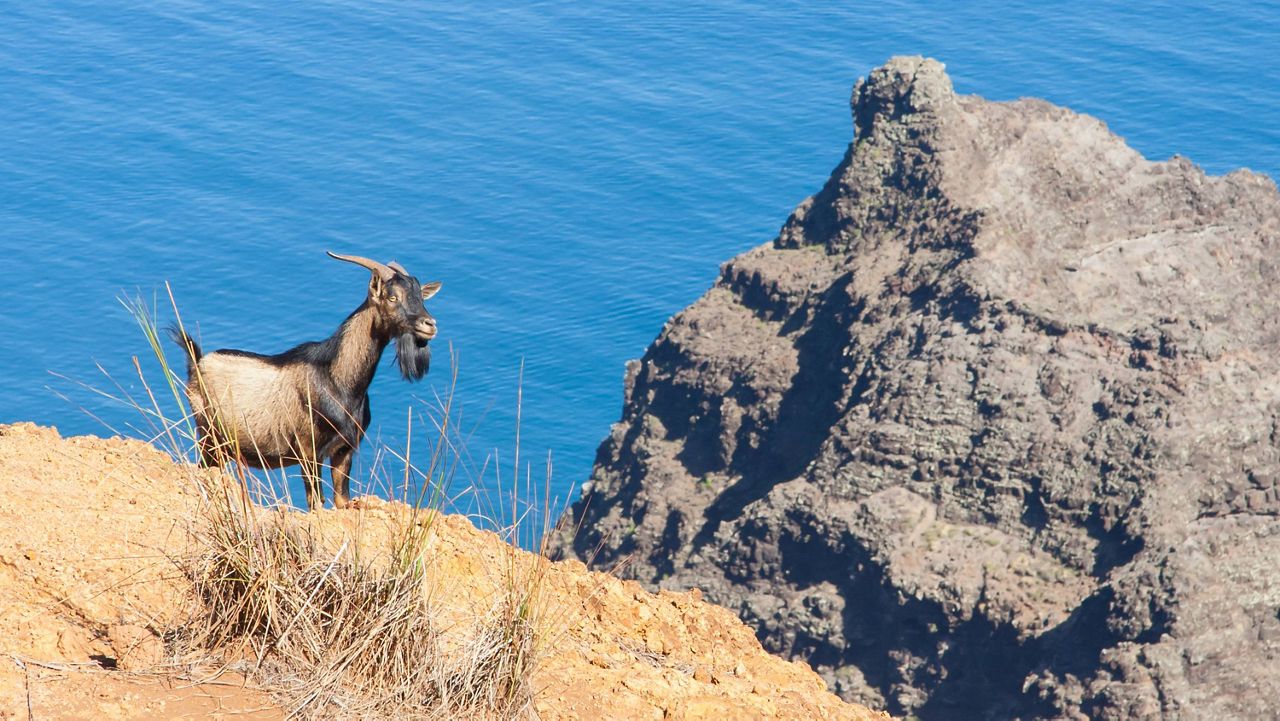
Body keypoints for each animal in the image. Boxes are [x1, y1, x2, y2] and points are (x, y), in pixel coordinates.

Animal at [170, 251, 442, 509]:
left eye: (420, 297)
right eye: (392, 297)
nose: (429, 325)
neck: (338, 380)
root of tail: (197, 363)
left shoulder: (344, 449)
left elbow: (341, 499)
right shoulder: (308, 451)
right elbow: (316, 502)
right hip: (209, 434)